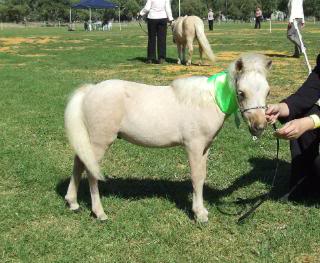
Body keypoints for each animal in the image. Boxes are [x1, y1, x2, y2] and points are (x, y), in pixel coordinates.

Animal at [64, 54, 272, 224]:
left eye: (268, 92)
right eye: (241, 92)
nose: (259, 126)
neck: (209, 100)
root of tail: (90, 90)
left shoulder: (205, 148)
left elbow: (202, 175)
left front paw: (202, 210)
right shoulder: (193, 146)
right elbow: (196, 177)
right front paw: (199, 214)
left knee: (79, 162)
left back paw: (73, 203)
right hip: (100, 143)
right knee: (91, 171)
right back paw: (99, 212)